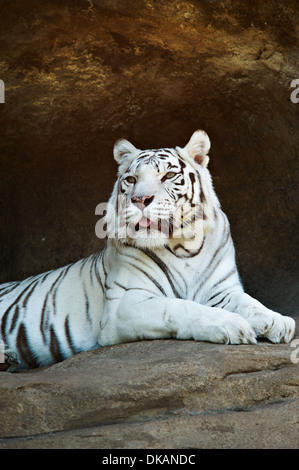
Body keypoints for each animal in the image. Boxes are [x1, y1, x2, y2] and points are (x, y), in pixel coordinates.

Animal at [0, 129, 296, 370]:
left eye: (169, 175)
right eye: (131, 179)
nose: (140, 199)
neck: (184, 246)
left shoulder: (221, 291)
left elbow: (250, 303)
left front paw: (279, 321)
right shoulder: (124, 304)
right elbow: (180, 308)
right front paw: (232, 325)